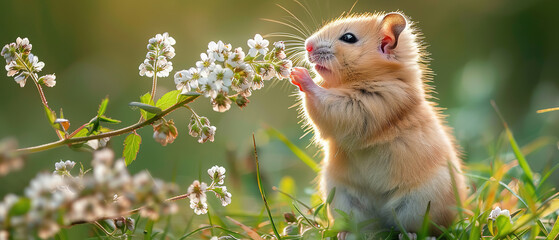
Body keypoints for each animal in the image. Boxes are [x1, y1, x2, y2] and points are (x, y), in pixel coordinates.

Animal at [288, 11, 468, 236]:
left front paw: (299, 74)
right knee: (365, 227)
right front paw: (293, 72)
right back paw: (344, 234)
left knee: (421, 228)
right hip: (343, 199)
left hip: (422, 203)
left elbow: (325, 100)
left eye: (349, 38)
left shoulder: (367, 106)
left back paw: (411, 235)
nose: (308, 47)